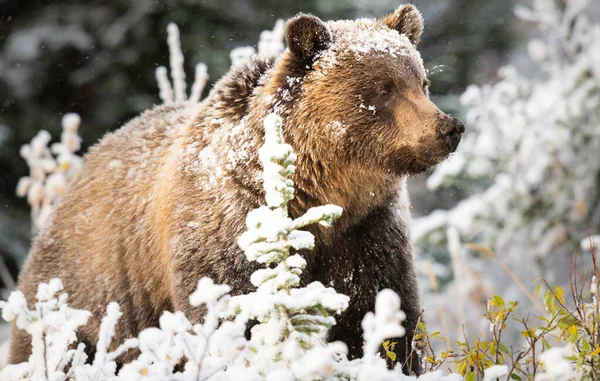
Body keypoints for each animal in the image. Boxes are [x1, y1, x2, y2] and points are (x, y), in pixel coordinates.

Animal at [9, 3, 464, 374]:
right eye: (383, 89)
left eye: (421, 82)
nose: (449, 128)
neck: (320, 197)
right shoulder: (230, 232)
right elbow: (238, 315)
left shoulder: (367, 230)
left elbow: (383, 311)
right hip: (91, 296)